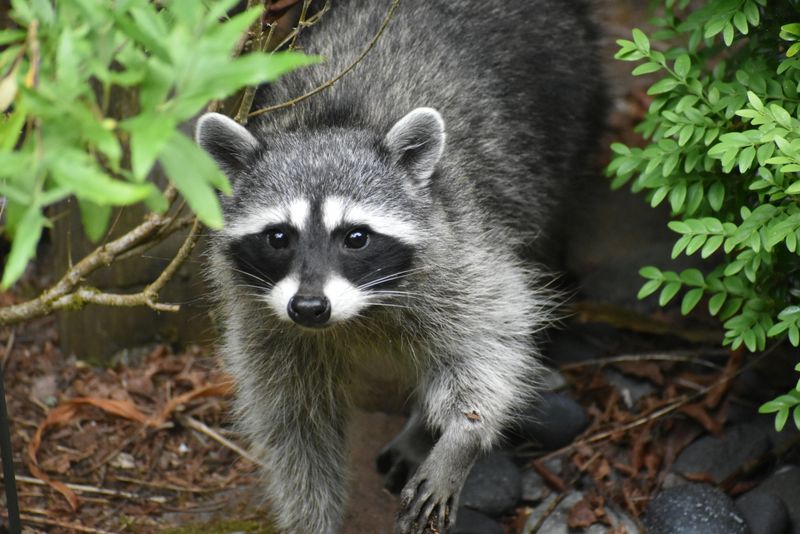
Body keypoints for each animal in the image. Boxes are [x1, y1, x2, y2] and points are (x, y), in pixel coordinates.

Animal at [195, 1, 604, 532]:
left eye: (356, 238)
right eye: (279, 237)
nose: (309, 307)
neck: (329, 122)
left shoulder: (463, 248)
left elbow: (491, 342)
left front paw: (461, 435)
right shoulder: (263, 319)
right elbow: (295, 427)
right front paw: (312, 515)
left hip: (566, 112)